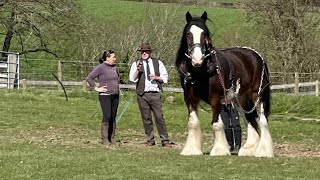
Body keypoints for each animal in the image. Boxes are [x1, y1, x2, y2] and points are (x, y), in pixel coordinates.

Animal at [176, 11, 274, 158]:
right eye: (188, 33)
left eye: (204, 33)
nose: (197, 59)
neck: (199, 71)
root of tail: (257, 56)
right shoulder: (189, 98)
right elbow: (193, 123)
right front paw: (191, 150)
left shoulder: (215, 99)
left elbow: (216, 124)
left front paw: (219, 150)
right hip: (241, 99)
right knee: (250, 119)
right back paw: (248, 149)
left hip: (258, 94)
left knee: (262, 119)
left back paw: (264, 151)